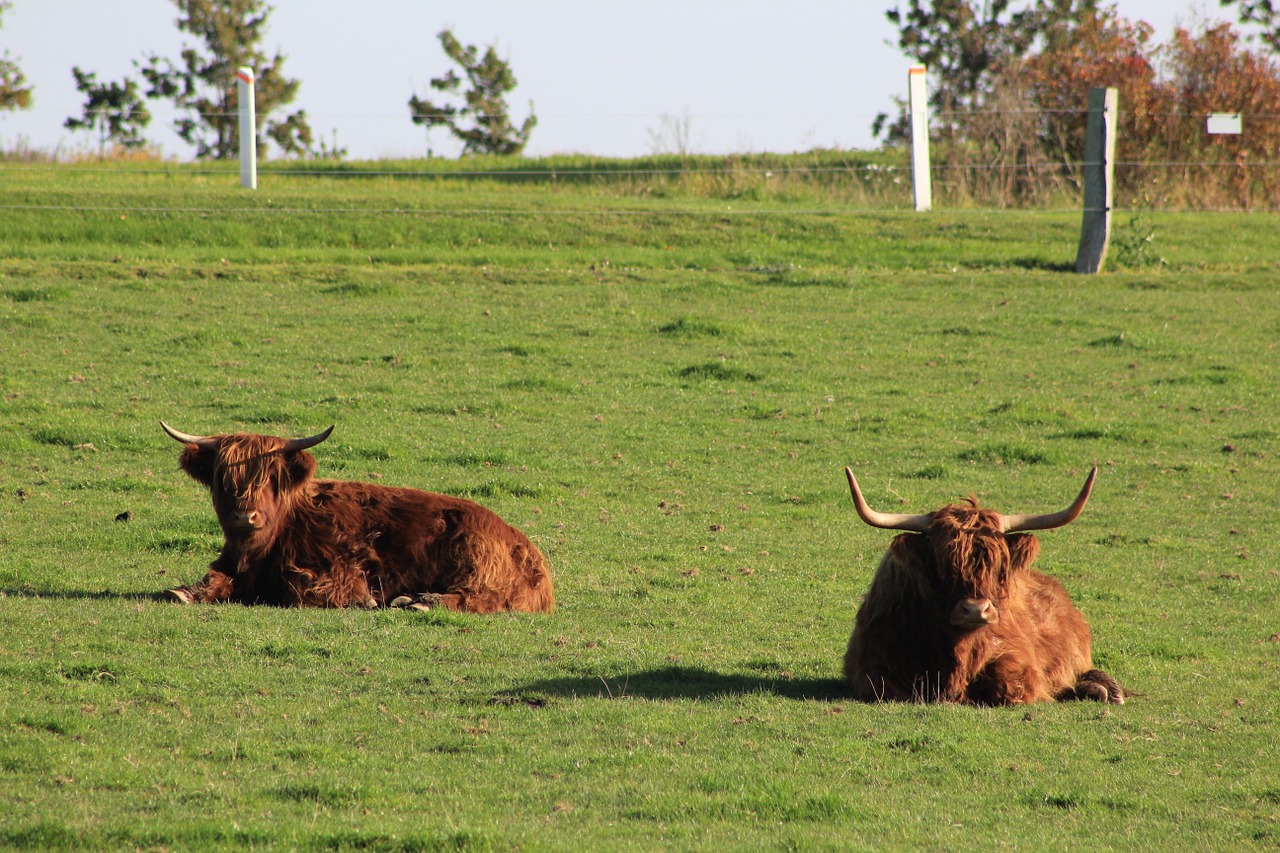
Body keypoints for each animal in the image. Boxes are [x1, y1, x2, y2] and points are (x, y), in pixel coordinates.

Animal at [157, 420, 552, 612]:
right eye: (224, 479)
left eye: (271, 479)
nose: (244, 516)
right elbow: (214, 579)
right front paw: (183, 592)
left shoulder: (341, 567)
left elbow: (299, 588)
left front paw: (362, 600)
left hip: (475, 561)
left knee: (482, 597)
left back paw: (422, 602)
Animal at [839, 466, 1121, 701]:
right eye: (941, 563)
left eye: (997, 564)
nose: (975, 610)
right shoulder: (874, 664)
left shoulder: (1017, 656)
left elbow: (1012, 684)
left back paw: (1103, 688)